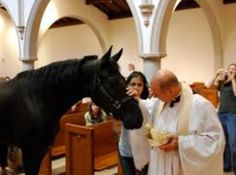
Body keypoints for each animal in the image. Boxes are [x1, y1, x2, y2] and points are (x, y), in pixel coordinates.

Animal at [0, 47, 143, 174]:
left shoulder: (40, 152)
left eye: (125, 79)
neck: (37, 99)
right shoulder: (30, 152)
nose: (138, 117)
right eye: (113, 81)